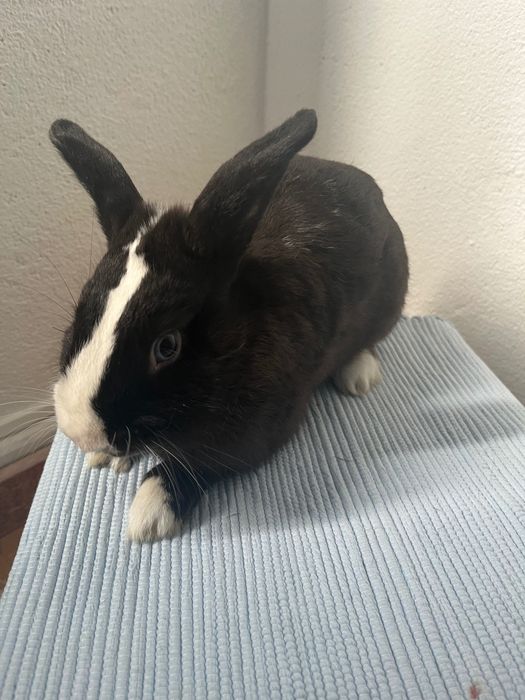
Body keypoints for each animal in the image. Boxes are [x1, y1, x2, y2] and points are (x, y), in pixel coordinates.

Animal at [49, 109, 408, 542]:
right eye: (82, 312)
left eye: (167, 345)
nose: (80, 432)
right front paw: (106, 458)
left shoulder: (256, 436)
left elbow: (200, 463)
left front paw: (150, 512)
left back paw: (359, 376)